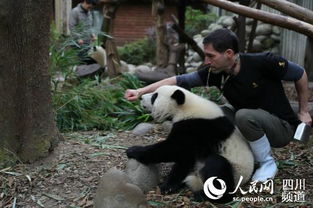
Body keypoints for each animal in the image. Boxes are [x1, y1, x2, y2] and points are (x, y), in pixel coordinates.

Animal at [125, 85, 254, 203]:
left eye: (154, 97)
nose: (141, 97)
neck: (186, 107)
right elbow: (184, 159)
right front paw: (169, 186)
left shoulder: (197, 128)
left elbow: (173, 148)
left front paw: (132, 150)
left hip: (235, 171)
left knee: (217, 165)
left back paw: (205, 196)